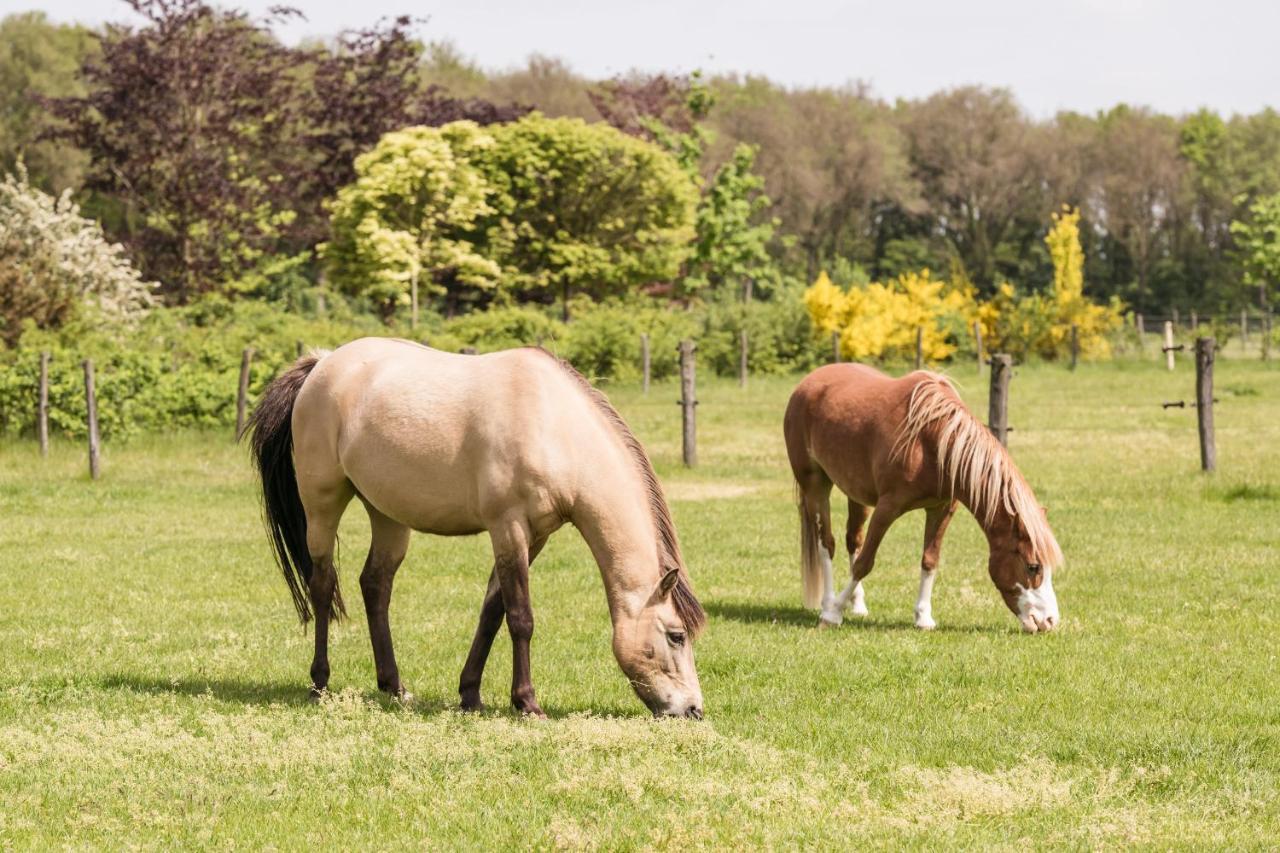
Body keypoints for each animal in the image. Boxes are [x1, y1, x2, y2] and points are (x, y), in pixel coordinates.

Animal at [244, 335, 706, 712]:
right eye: (676, 636)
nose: (692, 710)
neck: (553, 426)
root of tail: (322, 363)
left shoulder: (535, 536)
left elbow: (492, 611)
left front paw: (470, 694)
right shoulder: (508, 527)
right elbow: (520, 616)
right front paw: (527, 702)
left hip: (387, 515)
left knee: (375, 585)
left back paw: (394, 687)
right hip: (323, 502)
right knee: (323, 586)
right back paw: (319, 684)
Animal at [783, 363, 1064, 630]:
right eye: (1033, 566)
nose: (1049, 621)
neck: (931, 441)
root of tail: (808, 384)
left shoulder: (942, 509)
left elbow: (930, 560)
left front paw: (923, 617)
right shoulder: (887, 508)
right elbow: (864, 563)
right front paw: (833, 614)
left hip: (857, 494)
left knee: (853, 539)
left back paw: (858, 605)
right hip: (816, 484)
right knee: (826, 544)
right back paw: (827, 603)